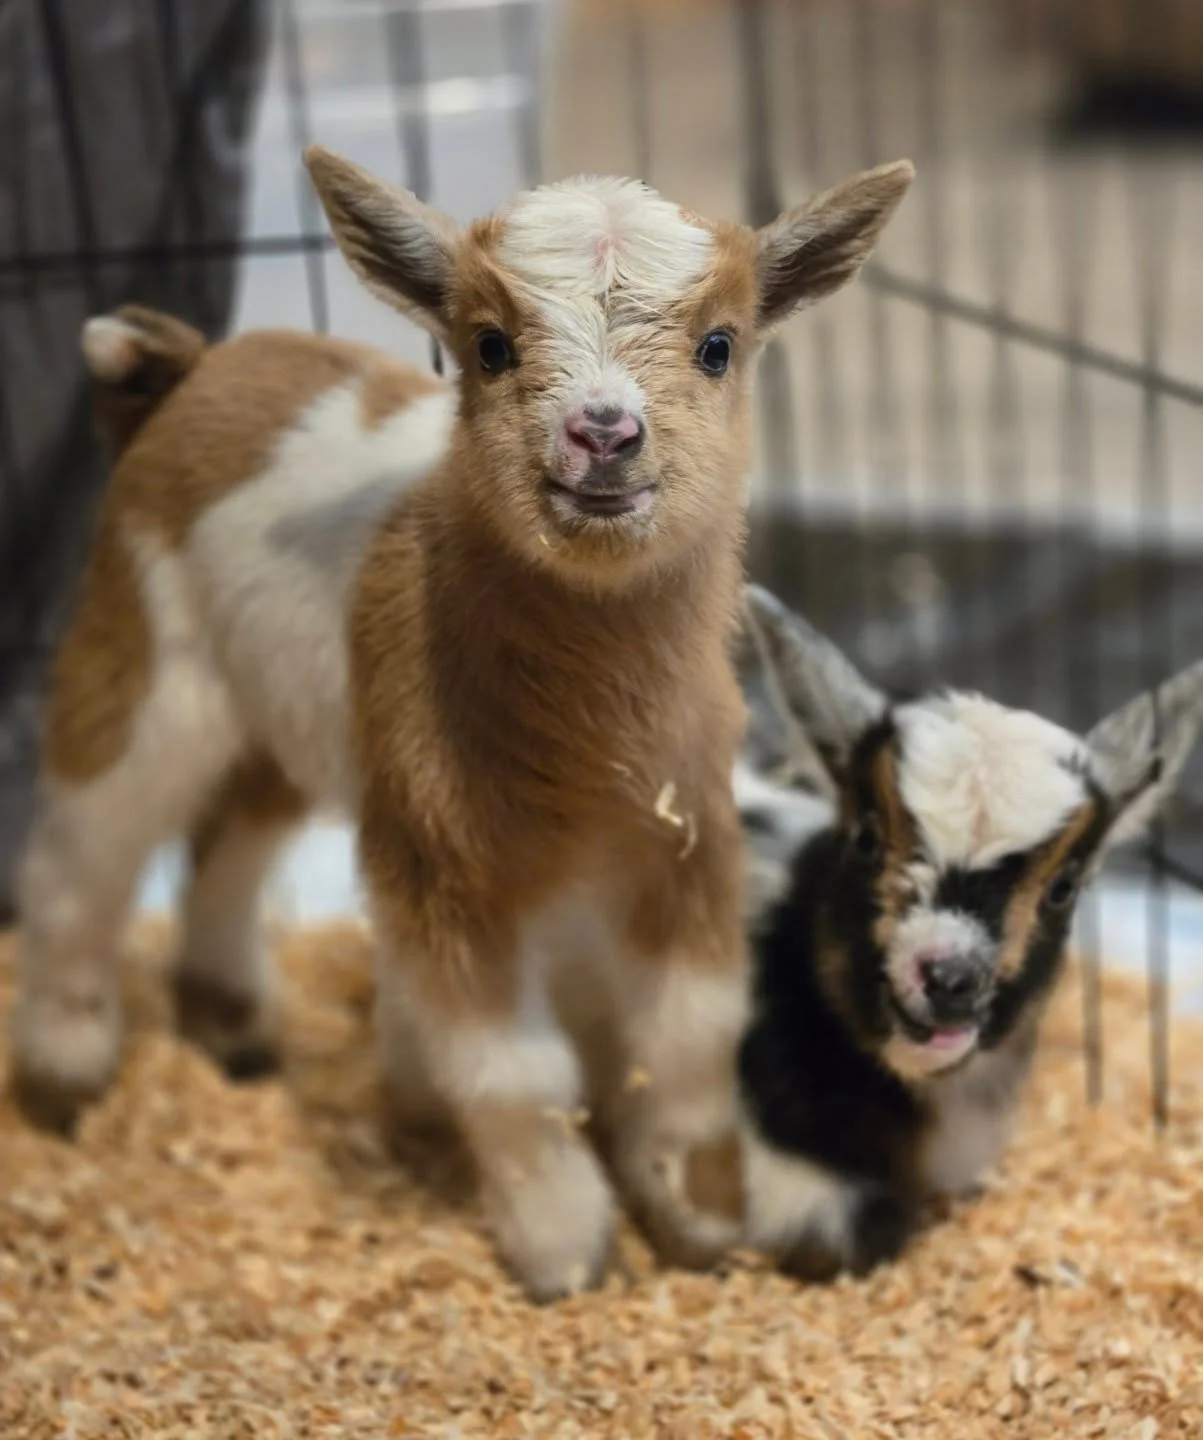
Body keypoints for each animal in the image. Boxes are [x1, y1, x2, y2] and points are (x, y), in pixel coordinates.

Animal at [9, 149, 914, 1300]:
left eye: (719, 346)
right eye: (489, 345)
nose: (604, 435)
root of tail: (191, 366)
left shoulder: (682, 839)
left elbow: (690, 1030)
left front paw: (700, 1214)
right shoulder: (445, 862)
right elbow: (511, 1069)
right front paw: (563, 1247)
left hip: (297, 722)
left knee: (229, 836)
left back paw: (232, 1025)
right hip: (143, 651)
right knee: (84, 847)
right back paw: (67, 1063)